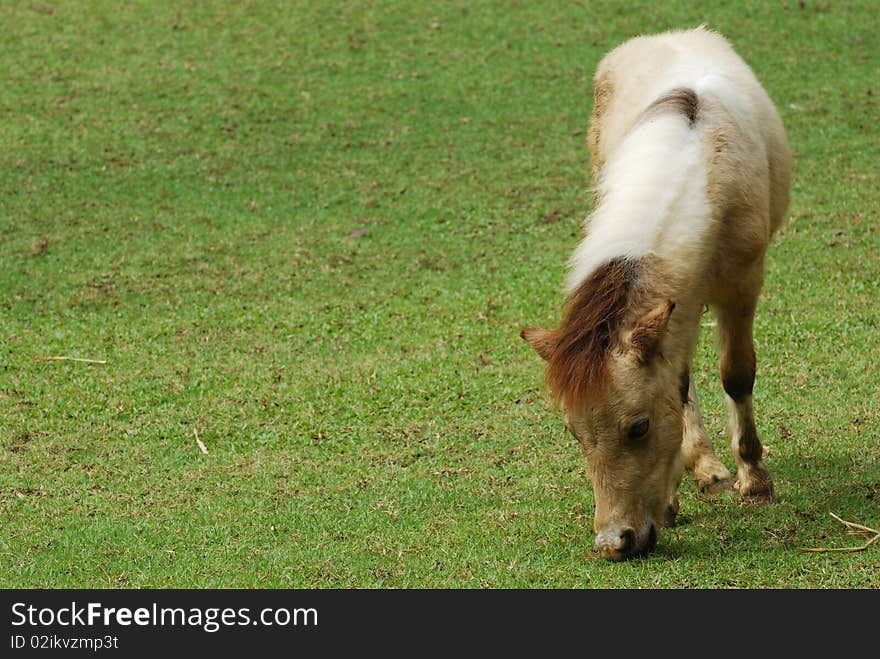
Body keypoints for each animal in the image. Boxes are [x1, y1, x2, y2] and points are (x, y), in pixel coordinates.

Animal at [524, 27, 792, 564]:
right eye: (574, 432)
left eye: (639, 427)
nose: (615, 543)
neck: (698, 166)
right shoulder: (675, 307)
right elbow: (678, 386)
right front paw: (673, 499)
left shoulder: (742, 285)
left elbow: (737, 375)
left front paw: (755, 481)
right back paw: (704, 468)